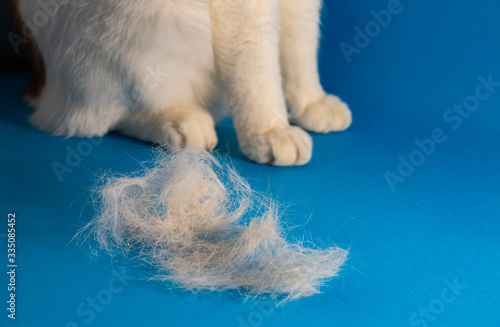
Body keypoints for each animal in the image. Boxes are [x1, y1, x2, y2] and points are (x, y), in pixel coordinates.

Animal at [15, 0, 352, 165]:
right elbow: (258, 65)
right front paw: (271, 131)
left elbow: (300, 45)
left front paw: (311, 102)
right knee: (93, 118)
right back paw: (177, 122)